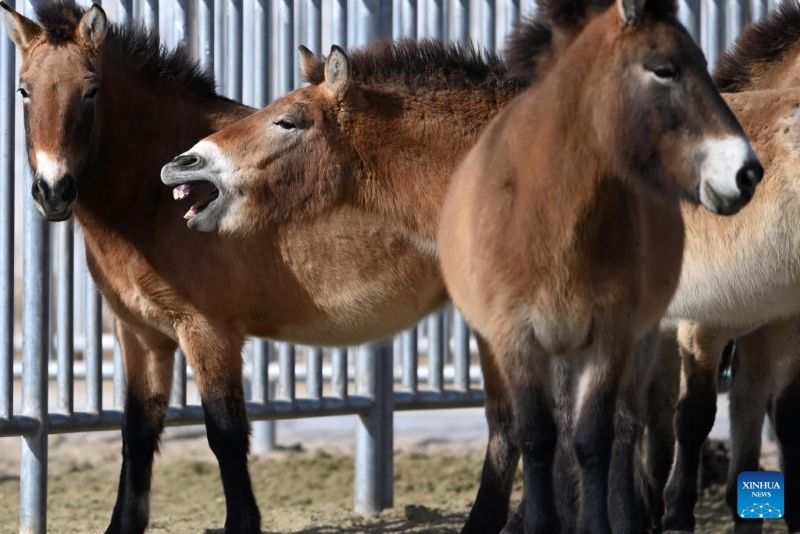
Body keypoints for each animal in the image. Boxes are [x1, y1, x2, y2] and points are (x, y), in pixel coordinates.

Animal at [0, 2, 480, 532]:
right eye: (23, 89)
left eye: (91, 88)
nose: (53, 191)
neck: (152, 199)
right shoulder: (139, 332)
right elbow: (138, 430)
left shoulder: (208, 331)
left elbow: (225, 433)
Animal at [436, 0, 762, 530]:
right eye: (664, 69)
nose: (747, 172)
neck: (554, 218)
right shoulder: (515, 338)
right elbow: (537, 435)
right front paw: (541, 523)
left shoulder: (610, 336)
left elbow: (593, 438)